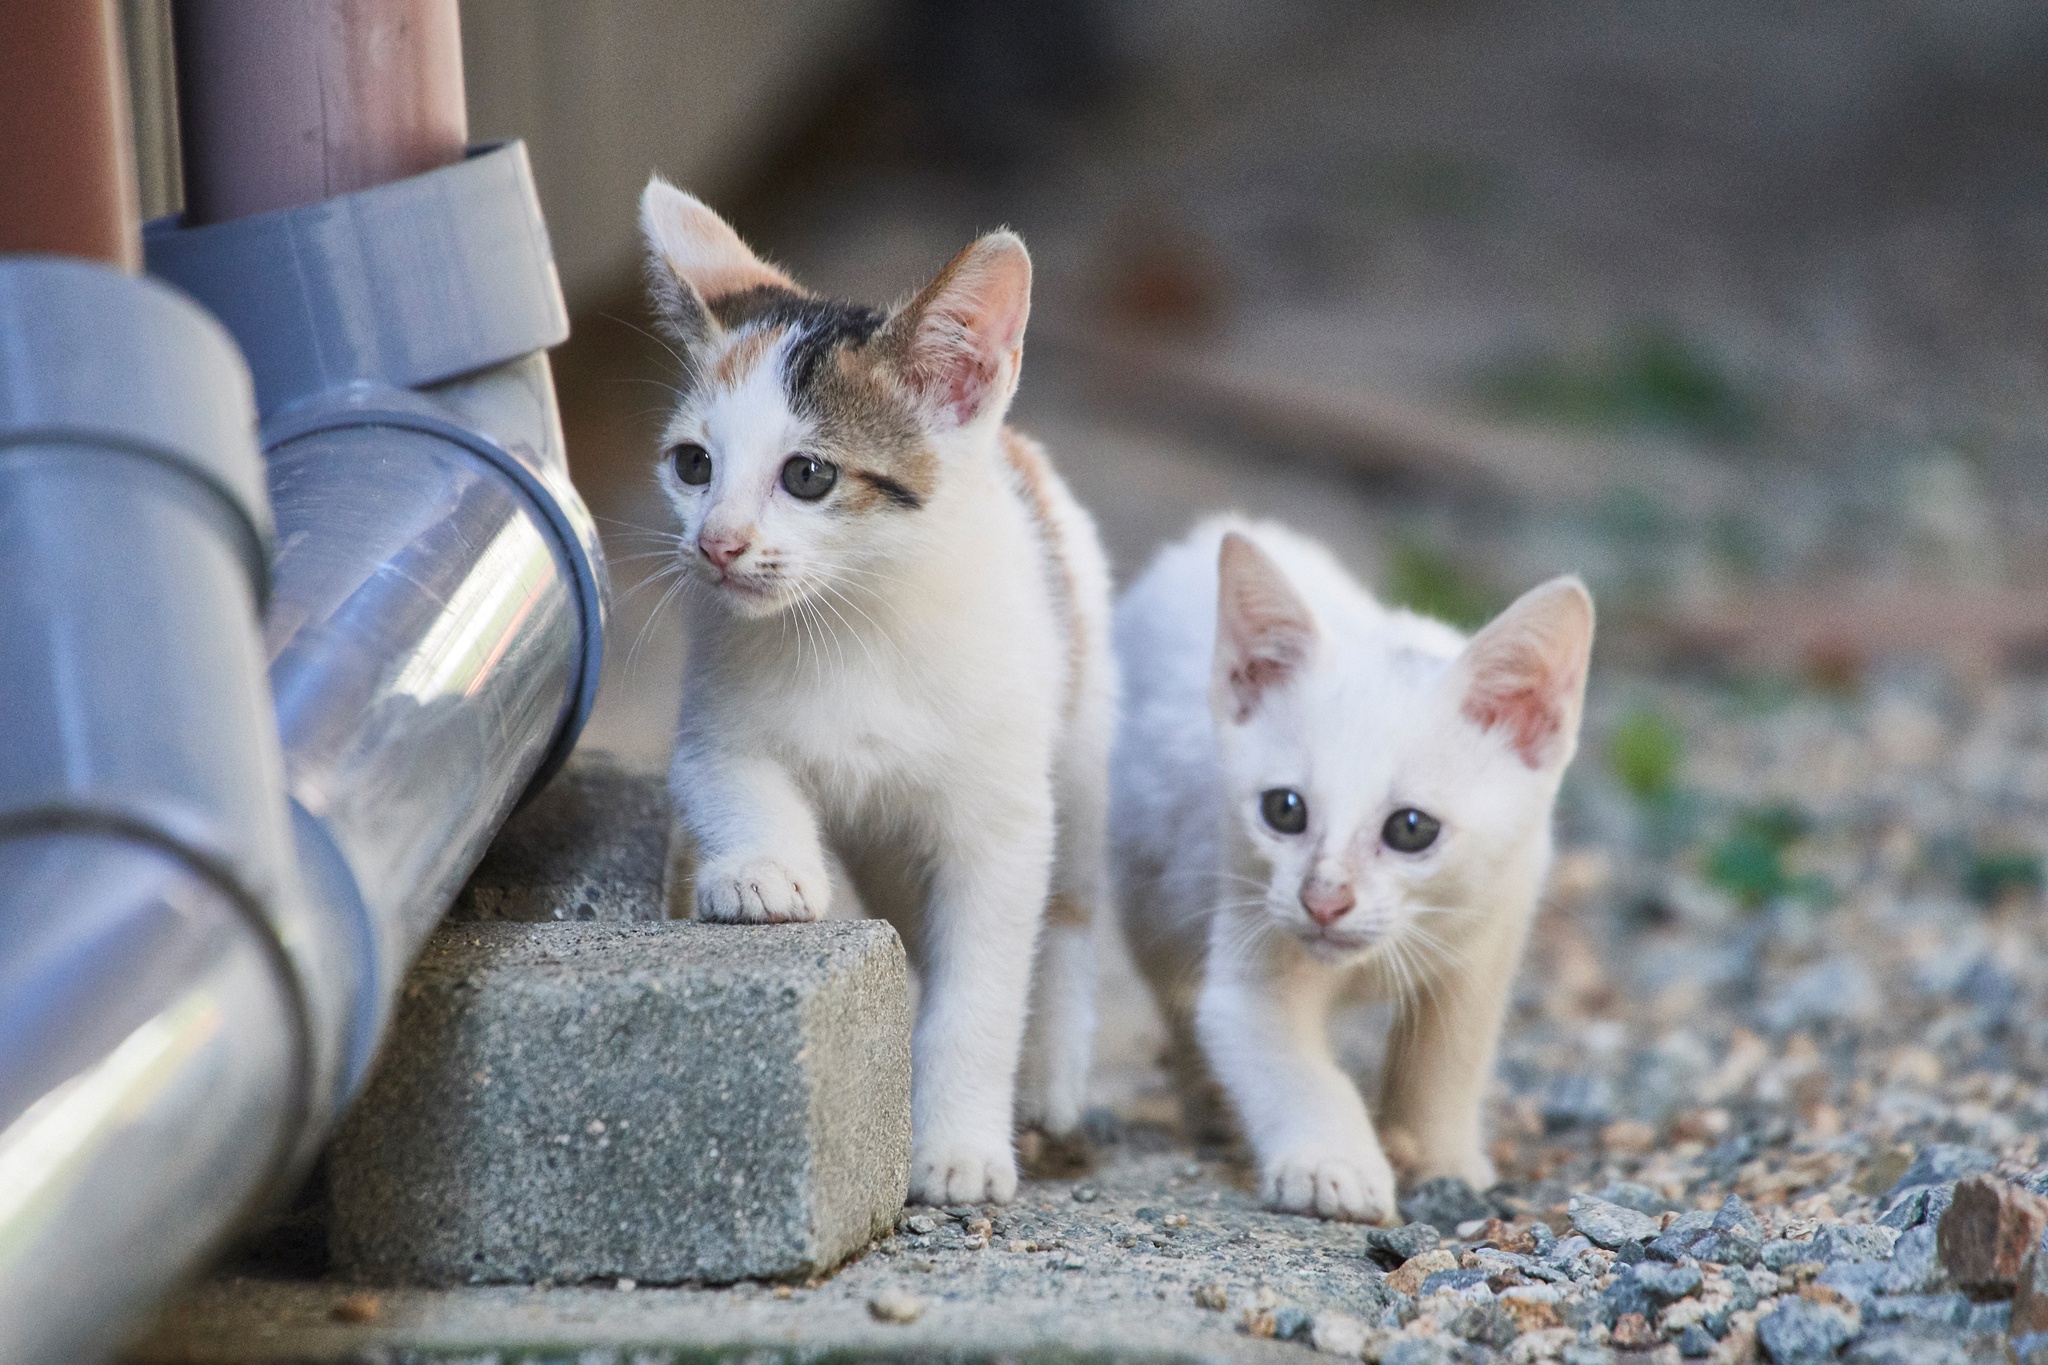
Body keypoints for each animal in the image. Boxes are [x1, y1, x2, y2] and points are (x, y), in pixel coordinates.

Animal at [643, 173, 1114, 1203]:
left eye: (809, 475)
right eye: (694, 464)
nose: (716, 544)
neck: (851, 623)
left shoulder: (1000, 823)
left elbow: (984, 988)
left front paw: (960, 1144)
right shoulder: (712, 720)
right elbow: (732, 776)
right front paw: (762, 868)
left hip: (1081, 731)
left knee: (1070, 910)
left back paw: (1054, 1073)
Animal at [1114, 517, 1589, 1219]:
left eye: (1411, 829)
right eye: (1284, 810)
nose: (1324, 900)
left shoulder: (1495, 923)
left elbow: (1449, 1058)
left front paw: (1441, 1156)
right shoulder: (1250, 940)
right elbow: (1292, 1066)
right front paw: (1332, 1166)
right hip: (1147, 884)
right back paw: (1210, 1108)